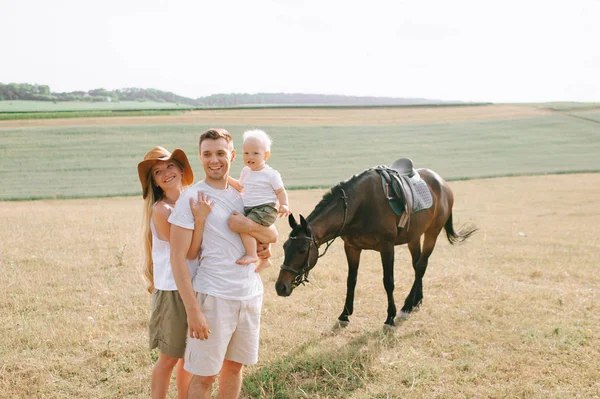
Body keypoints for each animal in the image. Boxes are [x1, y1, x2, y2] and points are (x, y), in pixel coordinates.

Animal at [274, 163, 476, 328]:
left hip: (432, 233)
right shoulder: (352, 248)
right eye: (284, 247)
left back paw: (407, 306)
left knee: (421, 266)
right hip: (414, 237)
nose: (280, 287)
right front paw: (344, 315)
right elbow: (351, 280)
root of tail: (442, 183)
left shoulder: (387, 247)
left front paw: (390, 318)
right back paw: (415, 302)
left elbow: (389, 282)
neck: (358, 206)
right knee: (417, 265)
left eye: (302, 250)